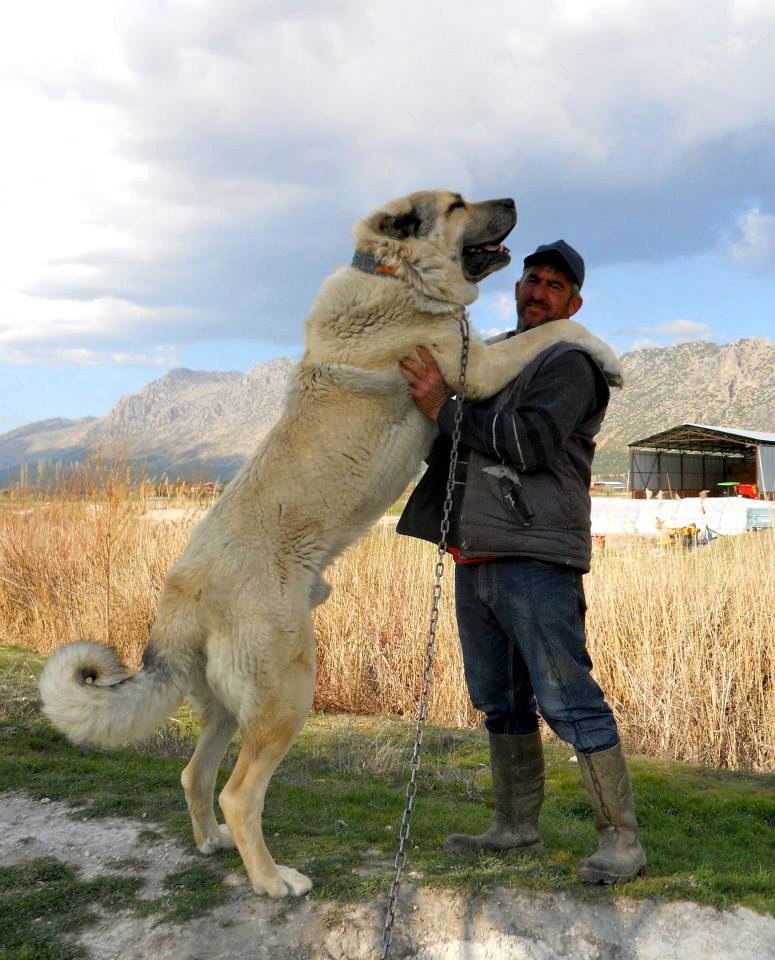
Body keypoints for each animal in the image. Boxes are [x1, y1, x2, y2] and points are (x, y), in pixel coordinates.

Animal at [41, 189, 624, 900]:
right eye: (458, 203)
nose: (513, 198)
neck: (395, 275)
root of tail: (182, 595)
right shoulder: (476, 366)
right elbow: (550, 334)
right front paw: (609, 357)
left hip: (228, 705)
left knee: (194, 773)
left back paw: (211, 843)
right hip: (287, 692)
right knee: (239, 793)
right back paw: (273, 881)